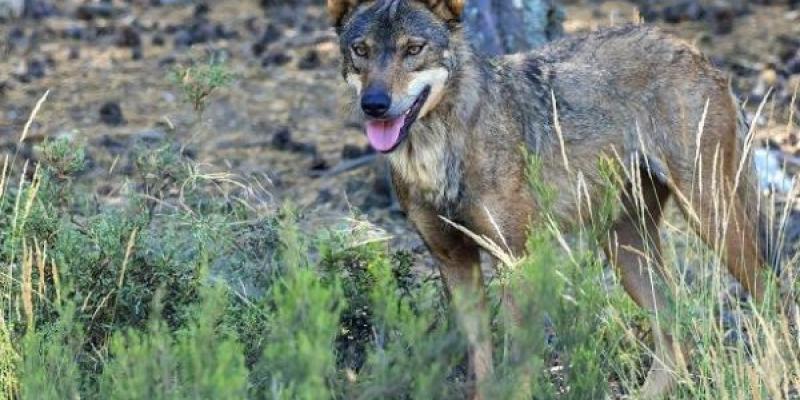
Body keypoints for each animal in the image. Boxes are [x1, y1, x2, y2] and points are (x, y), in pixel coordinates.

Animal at [328, 0, 790, 397]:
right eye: (361, 50)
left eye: (413, 49)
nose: (374, 104)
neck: (435, 153)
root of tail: (695, 51)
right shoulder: (454, 262)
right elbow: (482, 368)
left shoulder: (514, 260)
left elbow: (518, 366)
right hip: (625, 247)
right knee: (677, 339)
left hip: (710, 219)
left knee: (771, 295)